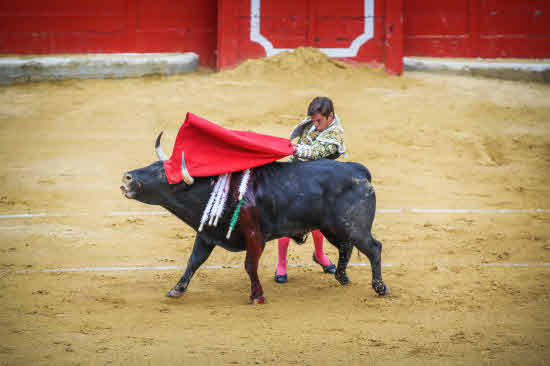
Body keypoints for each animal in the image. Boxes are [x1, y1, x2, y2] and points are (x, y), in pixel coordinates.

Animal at [121, 137, 390, 304]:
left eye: (163, 174)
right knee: (346, 247)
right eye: (155, 164)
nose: (127, 177)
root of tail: (358, 170)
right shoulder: (207, 235)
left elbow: (250, 265)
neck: (215, 187)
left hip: (353, 226)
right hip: (332, 227)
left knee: (373, 248)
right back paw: (342, 277)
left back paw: (380, 287)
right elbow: (194, 261)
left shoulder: (255, 236)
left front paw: (257, 296)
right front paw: (176, 289)